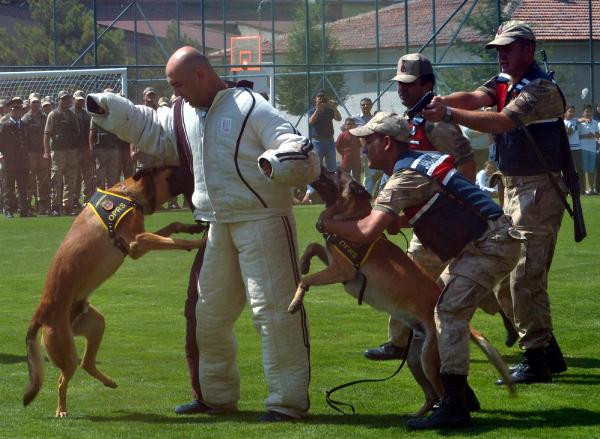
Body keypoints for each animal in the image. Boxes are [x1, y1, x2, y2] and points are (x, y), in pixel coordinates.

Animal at [23, 167, 207, 418]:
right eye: (177, 170)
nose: (196, 174)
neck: (128, 194)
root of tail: (40, 314)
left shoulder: (138, 243)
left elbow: (172, 227)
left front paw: (192, 228)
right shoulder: (138, 242)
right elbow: (174, 240)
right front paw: (199, 242)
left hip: (95, 324)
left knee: (87, 363)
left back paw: (108, 381)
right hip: (65, 350)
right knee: (62, 380)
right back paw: (61, 410)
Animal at [288, 170, 512, 418]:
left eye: (335, 173)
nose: (319, 167)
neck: (351, 218)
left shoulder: (342, 270)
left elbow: (305, 279)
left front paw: (295, 301)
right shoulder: (335, 264)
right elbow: (313, 247)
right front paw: (304, 262)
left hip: (427, 360)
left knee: (442, 393)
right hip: (415, 359)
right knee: (431, 394)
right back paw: (416, 414)